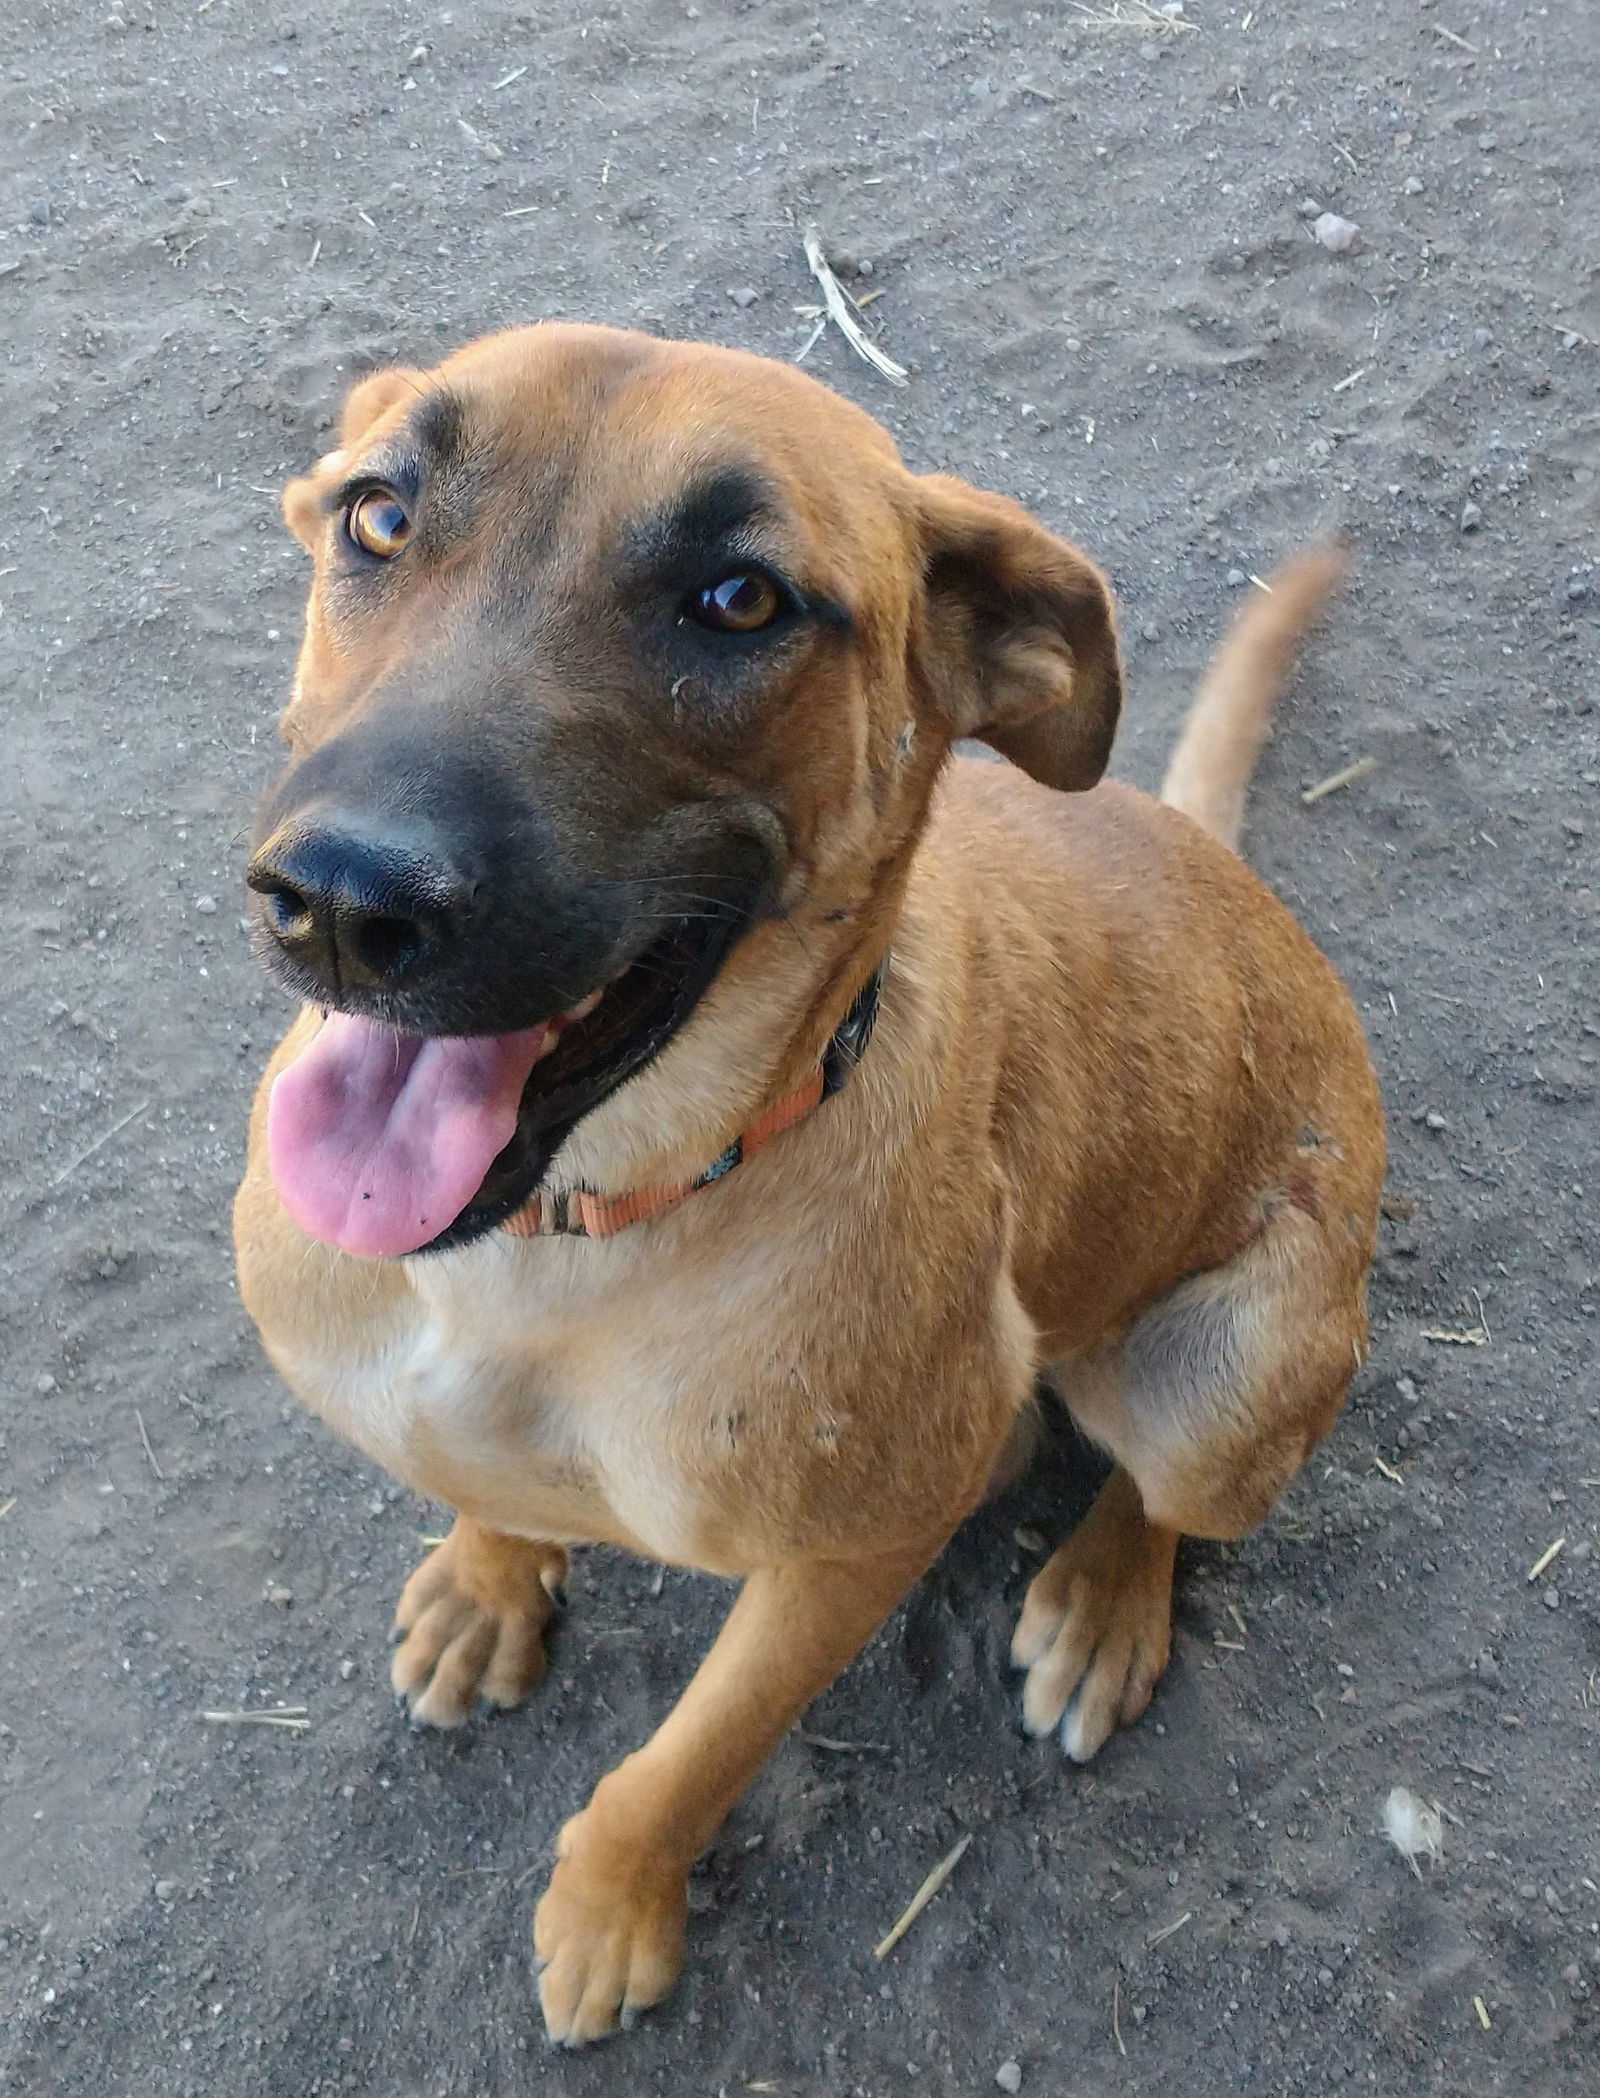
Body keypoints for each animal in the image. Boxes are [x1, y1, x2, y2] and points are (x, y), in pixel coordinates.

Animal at [231, 323, 1384, 2030]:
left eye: (741, 599)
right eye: (380, 513)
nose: (341, 902)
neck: (563, 1235)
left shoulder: (849, 1553)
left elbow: (688, 1758)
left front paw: (612, 1908)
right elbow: (477, 1484)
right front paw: (490, 1576)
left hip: (1231, 1371)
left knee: (1164, 1495)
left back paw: (1105, 1601)